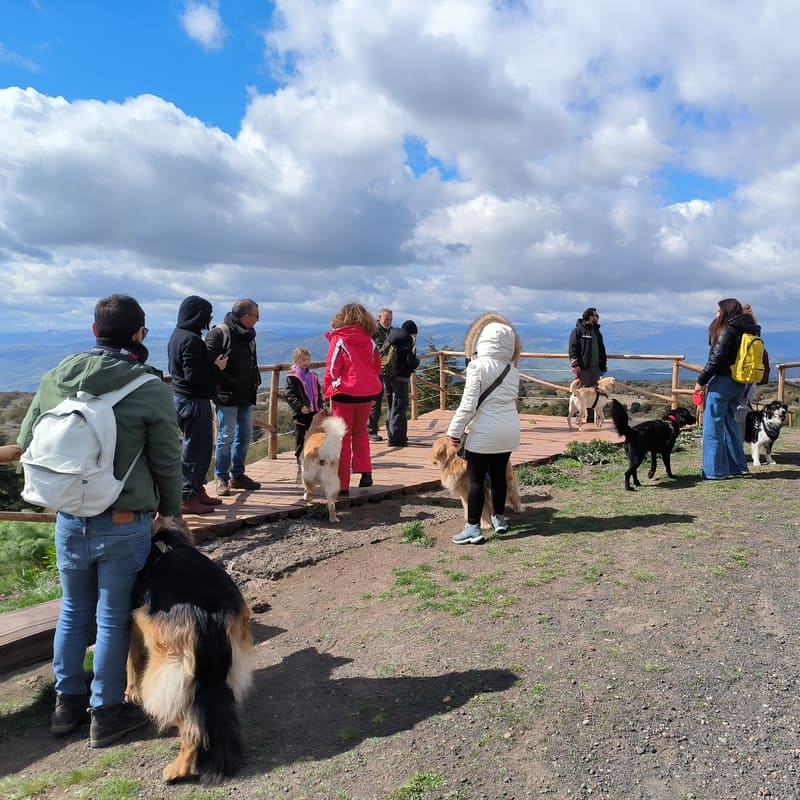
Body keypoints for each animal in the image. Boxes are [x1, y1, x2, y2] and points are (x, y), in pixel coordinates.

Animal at [125, 528, 253, 784]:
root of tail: (208, 619)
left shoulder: (134, 623)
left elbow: (130, 657)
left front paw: (130, 690)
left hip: (164, 679)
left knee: (191, 728)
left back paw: (178, 770)